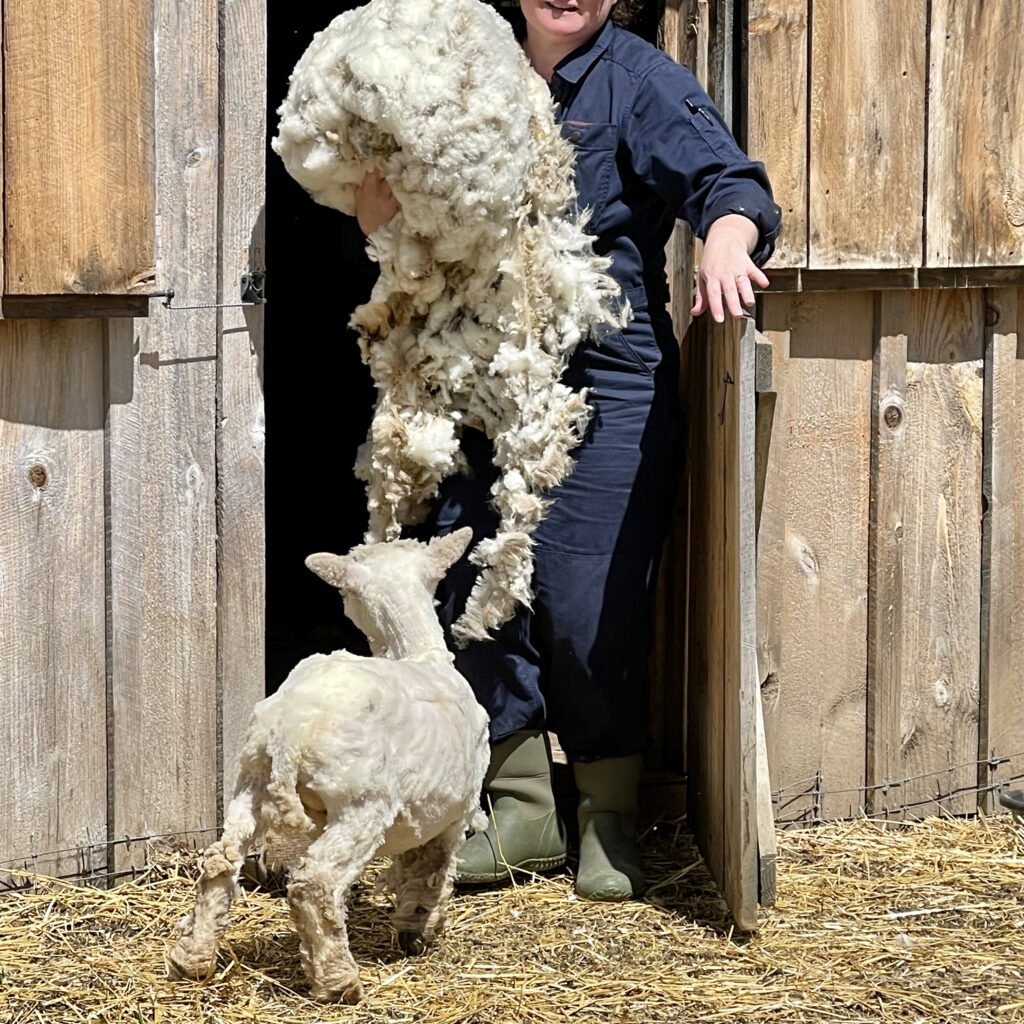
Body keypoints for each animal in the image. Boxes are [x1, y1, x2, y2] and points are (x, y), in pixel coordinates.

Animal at [164, 532, 491, 1003]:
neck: (419, 653)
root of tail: (292, 727)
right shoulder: (453, 814)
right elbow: (430, 869)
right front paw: (419, 927)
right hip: (360, 805)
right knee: (314, 883)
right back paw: (338, 981)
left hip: (250, 781)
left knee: (220, 861)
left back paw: (191, 960)